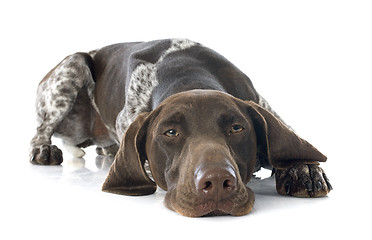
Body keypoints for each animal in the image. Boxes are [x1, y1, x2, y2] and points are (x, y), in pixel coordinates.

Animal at [29, 38, 332, 217]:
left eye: (237, 128)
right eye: (170, 133)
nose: (217, 183)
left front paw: (304, 169)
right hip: (71, 68)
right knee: (41, 130)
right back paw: (44, 150)